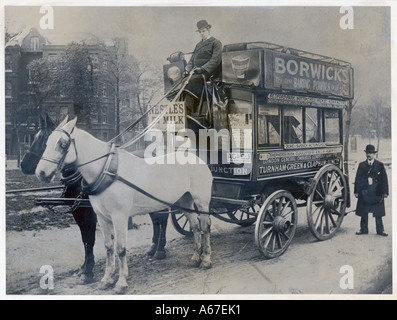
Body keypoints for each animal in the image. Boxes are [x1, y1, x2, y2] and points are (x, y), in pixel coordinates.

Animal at [35, 117, 212, 292]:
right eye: (46, 142)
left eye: (62, 143)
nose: (41, 173)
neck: (107, 171)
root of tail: (197, 159)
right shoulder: (102, 217)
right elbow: (108, 247)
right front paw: (106, 279)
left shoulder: (119, 217)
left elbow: (120, 248)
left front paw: (120, 282)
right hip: (184, 201)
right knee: (195, 226)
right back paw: (195, 257)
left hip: (202, 202)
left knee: (205, 227)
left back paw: (206, 260)